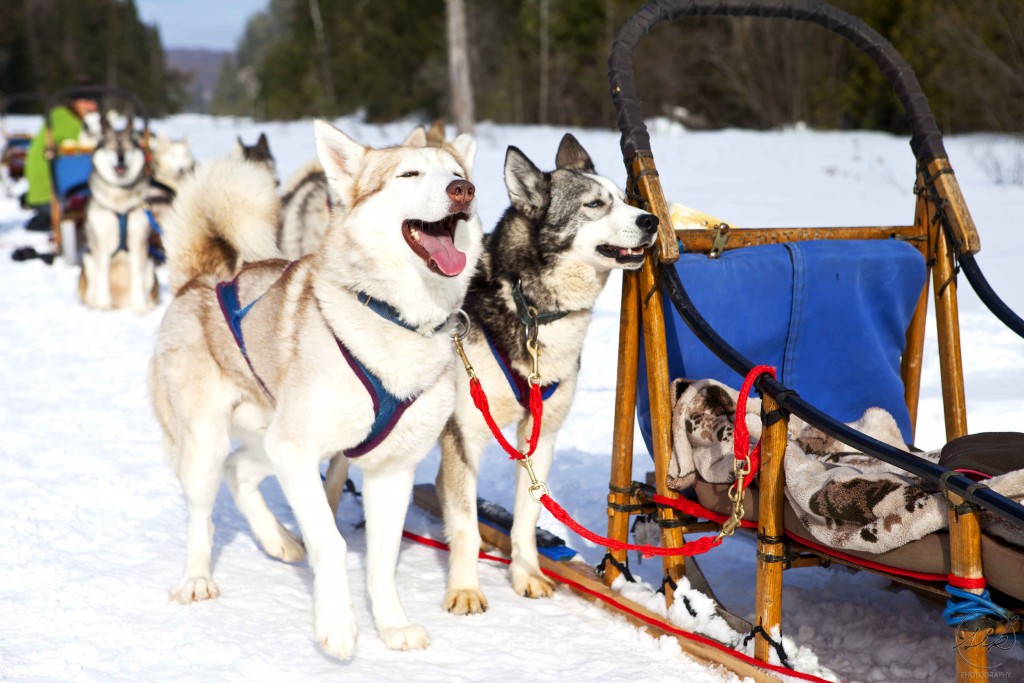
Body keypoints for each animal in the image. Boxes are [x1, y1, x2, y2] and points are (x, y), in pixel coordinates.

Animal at [80, 115, 159, 313]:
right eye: (111, 146)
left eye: (128, 147)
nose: (120, 158)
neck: (120, 204)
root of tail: (121, 302)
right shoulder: (100, 243)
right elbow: (102, 275)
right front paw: (102, 304)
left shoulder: (138, 243)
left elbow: (137, 277)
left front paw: (140, 308)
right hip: (88, 259)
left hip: (150, 263)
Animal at [150, 120, 483, 659]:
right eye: (409, 174)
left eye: (458, 172)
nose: (463, 190)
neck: (394, 317)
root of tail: (199, 279)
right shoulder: (298, 450)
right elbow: (331, 542)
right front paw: (338, 626)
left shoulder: (390, 470)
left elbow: (383, 559)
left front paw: (392, 625)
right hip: (212, 443)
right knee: (203, 513)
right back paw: (198, 578)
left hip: (272, 439)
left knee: (240, 471)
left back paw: (278, 540)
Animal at [432, 133, 655, 614]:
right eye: (595, 204)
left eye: (625, 198)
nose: (650, 220)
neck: (532, 310)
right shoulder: (465, 434)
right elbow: (466, 524)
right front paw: (464, 589)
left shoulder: (541, 435)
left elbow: (526, 517)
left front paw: (527, 575)